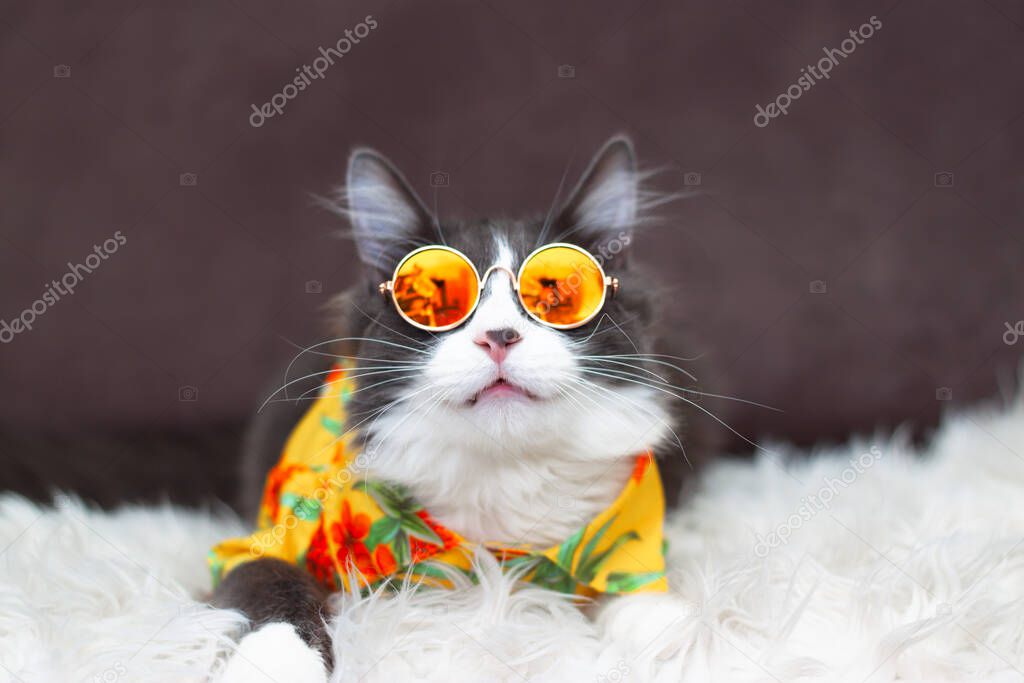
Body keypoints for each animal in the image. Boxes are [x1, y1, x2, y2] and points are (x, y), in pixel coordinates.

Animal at [214, 136, 712, 679]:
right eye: (442, 306)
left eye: (558, 295)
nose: (498, 337)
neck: (505, 469)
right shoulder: (261, 541)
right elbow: (268, 575)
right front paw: (274, 662)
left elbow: (625, 577)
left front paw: (661, 629)